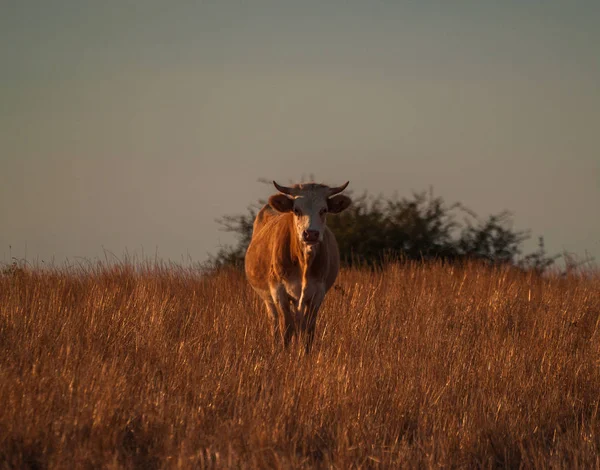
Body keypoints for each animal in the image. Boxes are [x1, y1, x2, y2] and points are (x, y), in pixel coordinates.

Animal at [244, 182, 352, 350]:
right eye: (296, 210)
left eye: (324, 210)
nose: (311, 234)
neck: (303, 262)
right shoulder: (278, 291)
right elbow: (287, 328)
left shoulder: (317, 293)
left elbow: (308, 329)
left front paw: (304, 352)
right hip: (269, 300)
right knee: (275, 322)